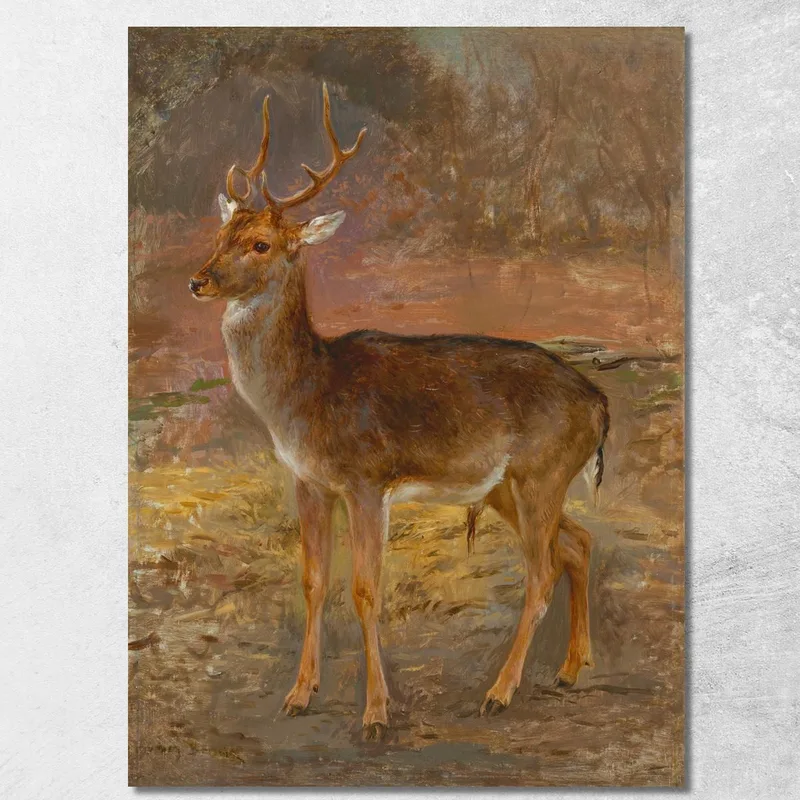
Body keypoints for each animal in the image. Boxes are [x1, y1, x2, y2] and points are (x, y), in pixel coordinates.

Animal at [189, 84, 609, 741]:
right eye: (219, 237)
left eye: (260, 244)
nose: (198, 281)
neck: (308, 394)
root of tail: (599, 404)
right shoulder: (309, 481)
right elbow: (313, 581)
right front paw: (298, 695)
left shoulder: (367, 479)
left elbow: (365, 589)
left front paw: (376, 713)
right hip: (509, 486)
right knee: (579, 543)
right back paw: (569, 669)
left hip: (542, 471)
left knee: (541, 572)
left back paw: (499, 692)